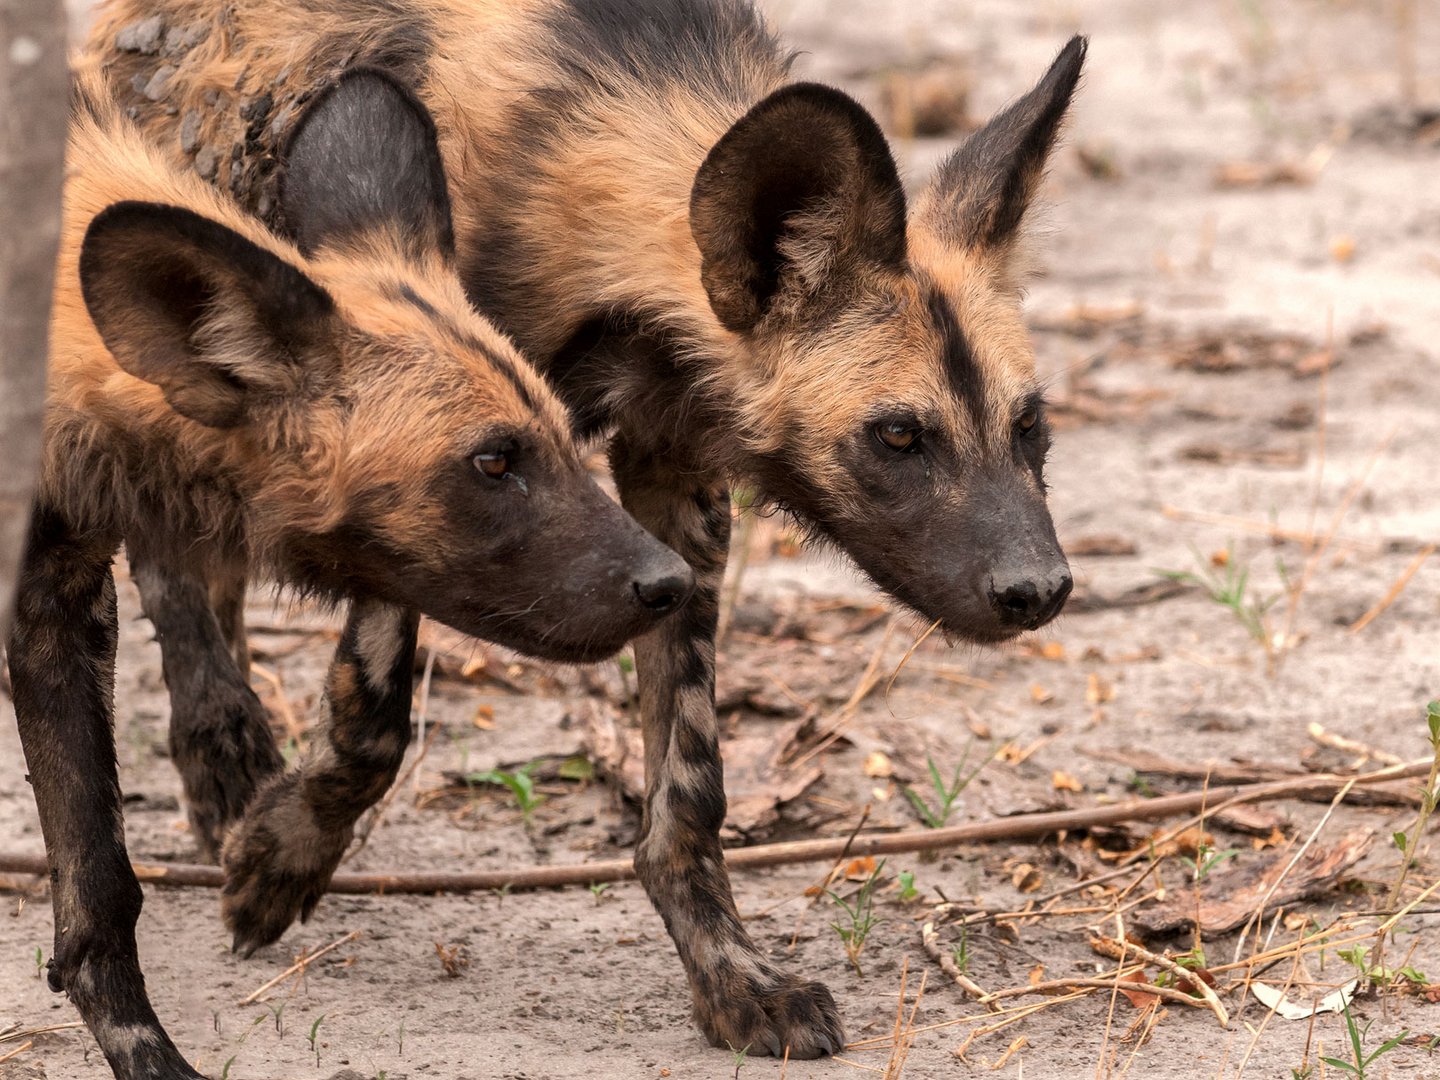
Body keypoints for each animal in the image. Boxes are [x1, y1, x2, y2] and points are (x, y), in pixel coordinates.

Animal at [87, 0, 1082, 1059]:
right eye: (899, 436)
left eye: (1029, 426)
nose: (1039, 589)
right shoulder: (424, 472)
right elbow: (373, 719)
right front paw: (279, 861)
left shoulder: (672, 492)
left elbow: (689, 789)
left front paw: (733, 980)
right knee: (172, 567)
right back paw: (226, 762)